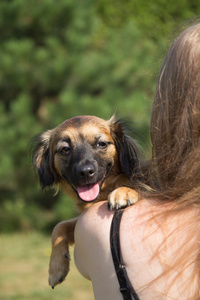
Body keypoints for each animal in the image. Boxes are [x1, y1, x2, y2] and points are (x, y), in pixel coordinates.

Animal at [32, 115, 140, 288]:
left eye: (101, 144)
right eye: (64, 149)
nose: (85, 172)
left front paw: (124, 192)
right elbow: (59, 226)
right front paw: (56, 268)